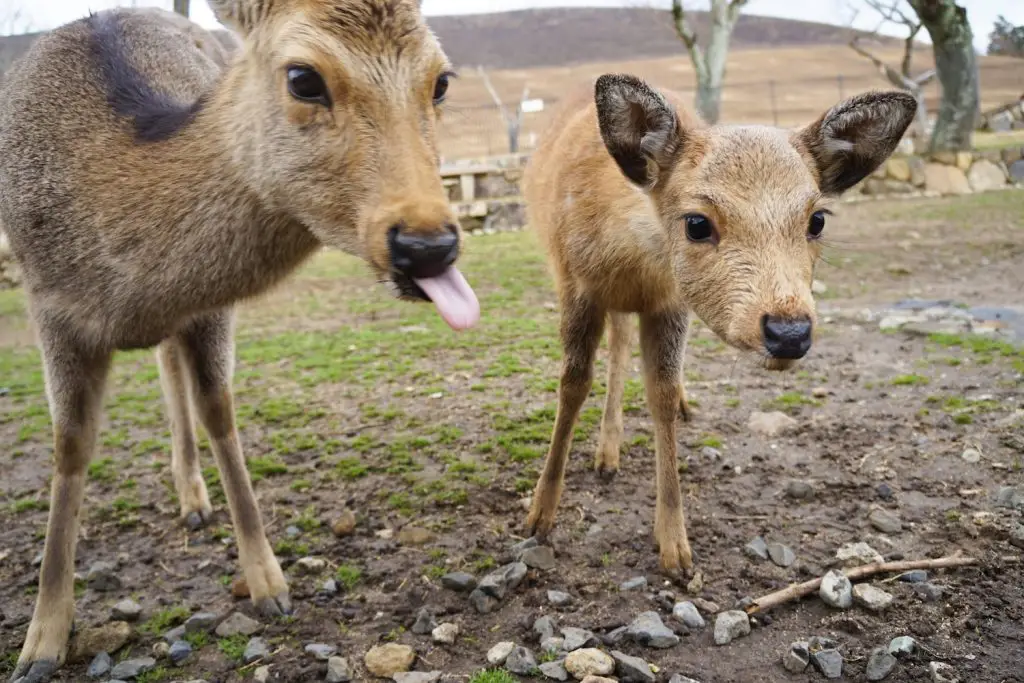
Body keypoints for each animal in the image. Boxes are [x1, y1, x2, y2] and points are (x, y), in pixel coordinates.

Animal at [0, 2, 479, 679]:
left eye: (440, 81)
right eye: (303, 78)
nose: (428, 244)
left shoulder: (208, 309)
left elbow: (219, 412)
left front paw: (269, 584)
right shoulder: (48, 305)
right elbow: (70, 448)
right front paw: (41, 640)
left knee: (170, 368)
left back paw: (193, 498)